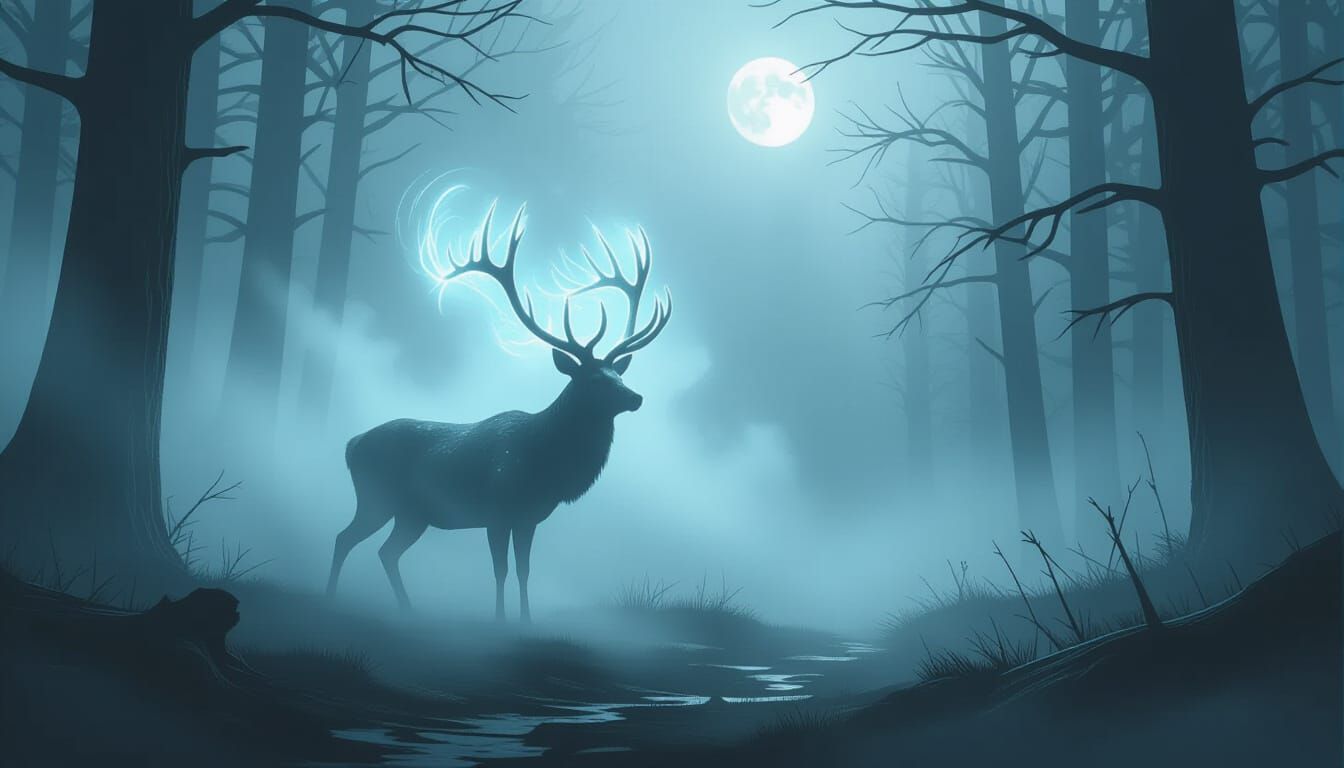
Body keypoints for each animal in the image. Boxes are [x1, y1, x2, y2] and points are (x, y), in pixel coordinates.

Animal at [325, 202, 671, 621]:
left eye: (617, 374)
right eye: (593, 379)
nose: (636, 397)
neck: (547, 463)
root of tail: (352, 444)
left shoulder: (529, 517)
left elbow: (523, 570)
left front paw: (526, 619)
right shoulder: (498, 511)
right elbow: (501, 570)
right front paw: (501, 619)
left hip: (412, 514)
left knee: (385, 551)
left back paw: (406, 608)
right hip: (376, 497)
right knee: (344, 538)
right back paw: (330, 597)